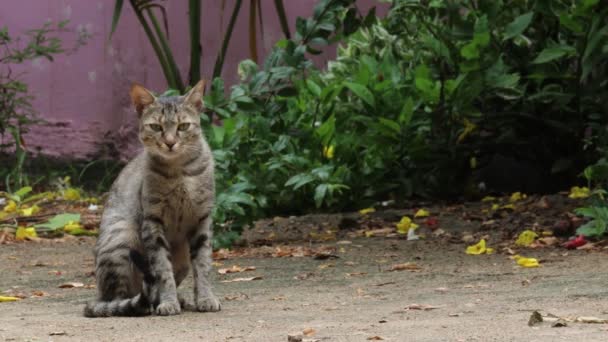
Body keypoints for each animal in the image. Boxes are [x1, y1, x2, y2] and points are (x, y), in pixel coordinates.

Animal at [84, 81, 220, 318]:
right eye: (156, 127)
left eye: (183, 126)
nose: (170, 142)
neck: (179, 171)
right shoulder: (153, 221)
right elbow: (162, 270)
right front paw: (169, 302)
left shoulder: (202, 219)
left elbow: (203, 265)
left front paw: (205, 298)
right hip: (121, 238)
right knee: (119, 299)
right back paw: (144, 304)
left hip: (182, 259)